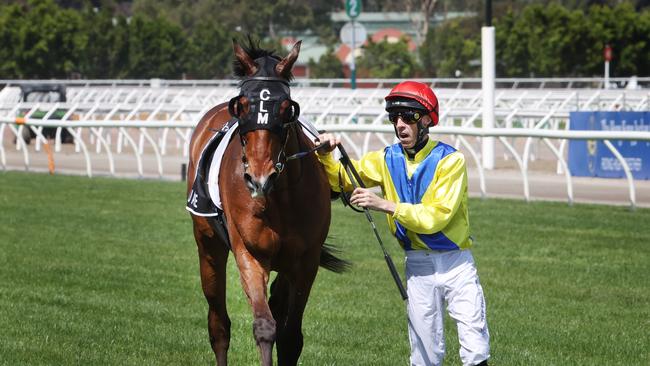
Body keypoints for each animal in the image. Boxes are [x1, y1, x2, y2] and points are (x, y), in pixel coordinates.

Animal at [185, 38, 346, 364]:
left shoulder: (305, 260)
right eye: (243, 105)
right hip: (208, 246)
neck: (280, 198)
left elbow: (291, 335)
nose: (259, 178)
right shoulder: (250, 253)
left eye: (286, 108)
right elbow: (264, 326)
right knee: (218, 323)